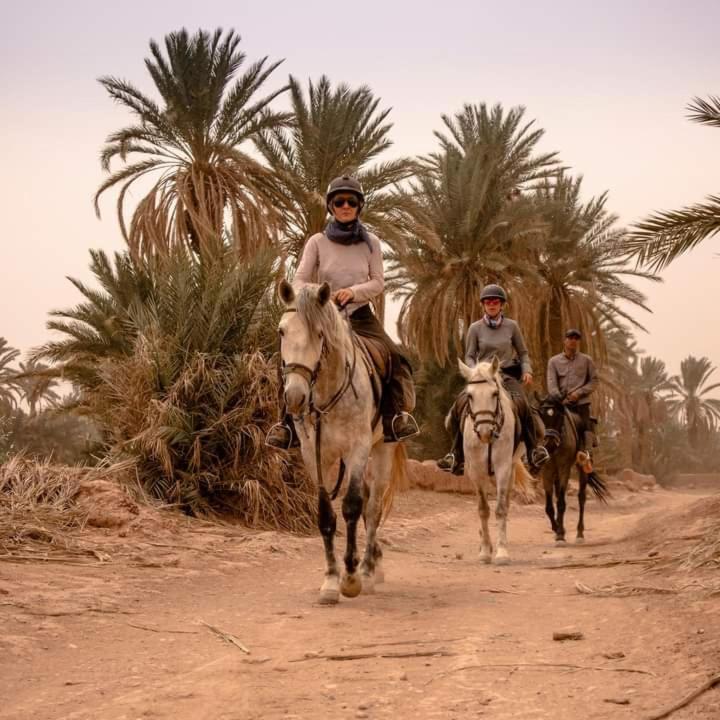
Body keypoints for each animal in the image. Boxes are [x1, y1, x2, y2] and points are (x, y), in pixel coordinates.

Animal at [278, 280, 408, 600]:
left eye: (319, 333)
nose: (295, 397)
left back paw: (368, 570)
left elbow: (351, 507)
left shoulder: (358, 449)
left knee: (372, 508)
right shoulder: (315, 455)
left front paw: (350, 577)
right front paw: (330, 580)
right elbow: (326, 514)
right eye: (282, 331)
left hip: (381, 450)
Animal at [456, 358, 528, 564]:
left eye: (494, 394)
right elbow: (483, 509)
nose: (485, 432)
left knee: (506, 503)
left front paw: (502, 552)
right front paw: (485, 551)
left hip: (510, 468)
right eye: (470, 396)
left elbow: (500, 508)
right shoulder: (476, 470)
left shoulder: (503, 468)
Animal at [540, 396, 608, 544]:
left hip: (582, 468)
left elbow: (561, 503)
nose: (549, 444)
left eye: (559, 416)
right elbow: (549, 507)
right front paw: (557, 529)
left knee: (581, 497)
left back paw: (580, 534)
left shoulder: (564, 468)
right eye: (542, 416)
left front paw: (560, 534)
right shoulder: (547, 470)